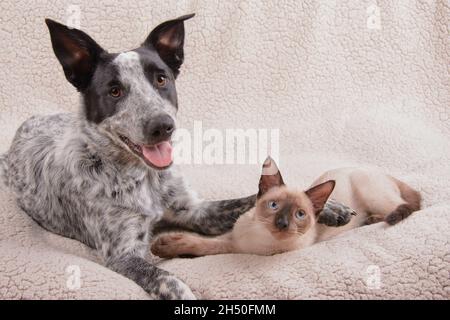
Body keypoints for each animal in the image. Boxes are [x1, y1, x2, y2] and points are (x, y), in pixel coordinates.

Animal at [0, 14, 356, 300]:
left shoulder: (196, 212)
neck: (144, 179)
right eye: (114, 91)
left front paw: (329, 207)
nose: (162, 126)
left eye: (161, 78)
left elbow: (248, 198)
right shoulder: (122, 254)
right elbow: (168, 279)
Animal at [152, 157, 422, 258]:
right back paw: (370, 219)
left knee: (407, 205)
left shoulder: (242, 249)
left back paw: (380, 218)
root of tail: (381, 171)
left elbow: (209, 246)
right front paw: (166, 247)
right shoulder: (234, 240)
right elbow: (203, 244)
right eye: (273, 205)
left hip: (373, 192)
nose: (281, 223)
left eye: (300, 214)